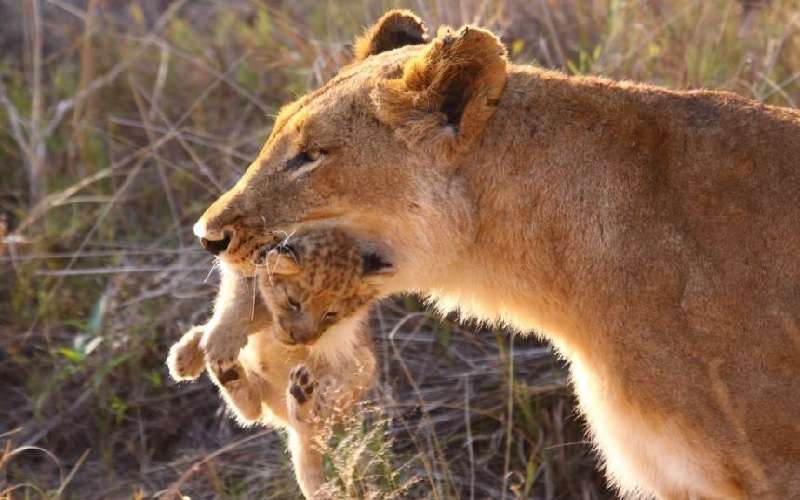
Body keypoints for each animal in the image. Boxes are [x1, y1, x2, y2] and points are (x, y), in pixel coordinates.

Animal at [167, 229, 387, 498]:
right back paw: (228, 373)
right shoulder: (255, 295)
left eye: (331, 314)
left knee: (309, 423)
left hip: (362, 366)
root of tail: (286, 419)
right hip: (263, 390)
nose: (301, 338)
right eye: (293, 301)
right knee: (252, 409)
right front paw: (187, 355)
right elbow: (228, 317)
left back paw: (301, 395)